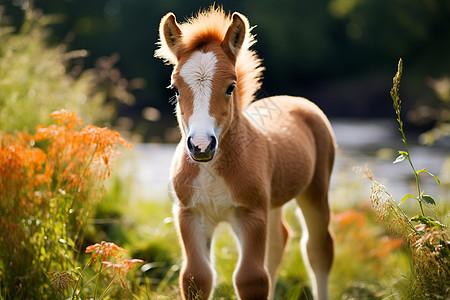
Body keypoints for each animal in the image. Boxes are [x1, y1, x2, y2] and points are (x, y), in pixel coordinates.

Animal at [156, 7, 336, 300]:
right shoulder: (190, 214)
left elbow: (251, 279)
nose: (202, 145)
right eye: (175, 88)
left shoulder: (251, 214)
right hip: (273, 202)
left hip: (315, 191)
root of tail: (294, 99)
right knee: (278, 243)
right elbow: (196, 277)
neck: (213, 169)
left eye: (231, 87)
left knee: (318, 248)